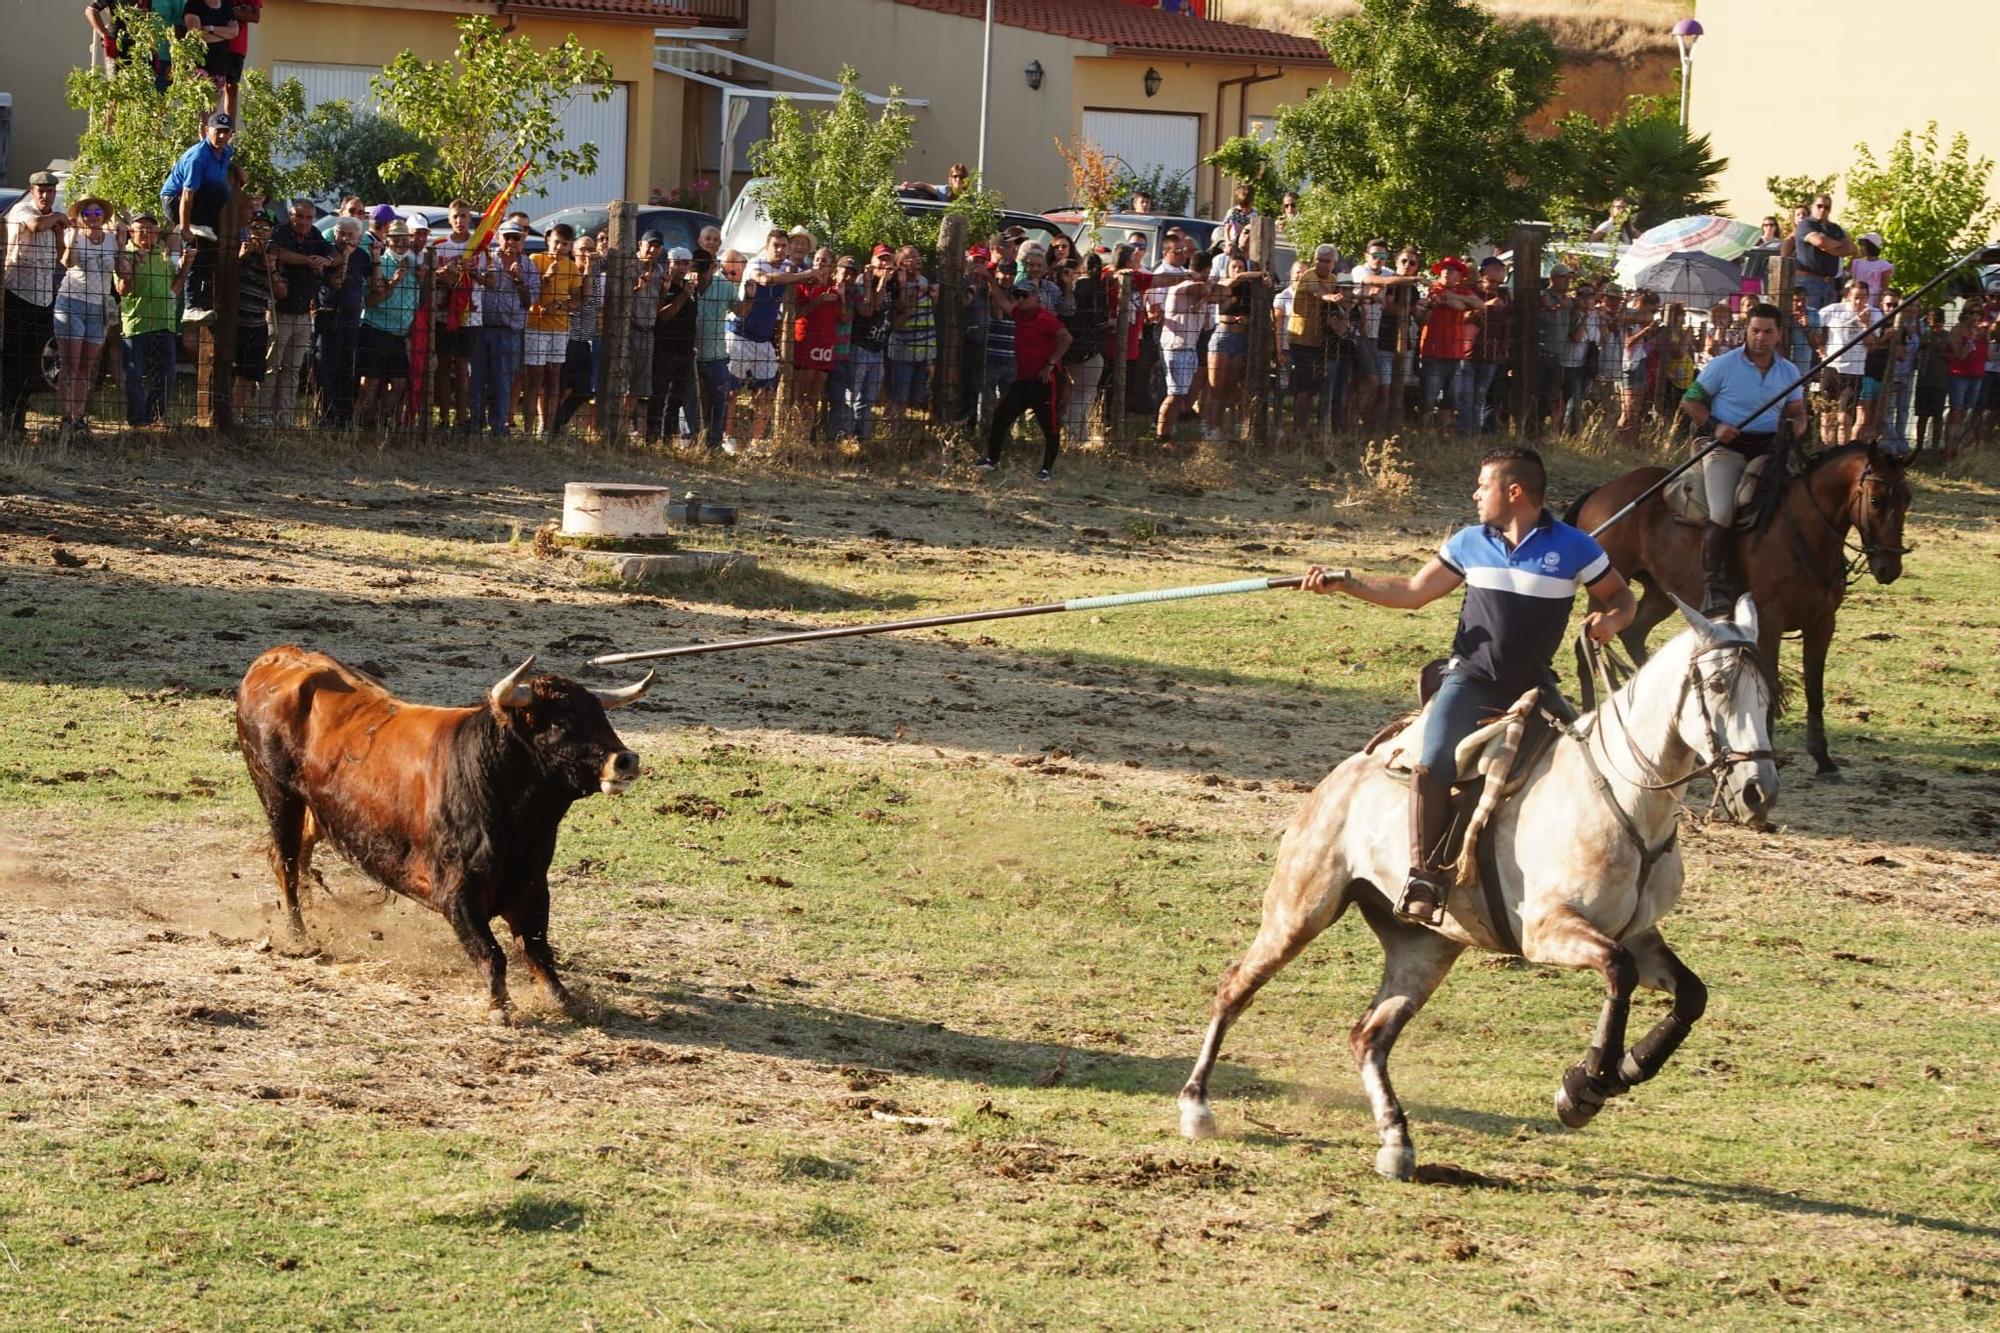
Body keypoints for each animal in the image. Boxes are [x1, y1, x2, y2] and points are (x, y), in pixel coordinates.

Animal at [238, 644, 652, 1016]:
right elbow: (491, 952)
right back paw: (299, 936)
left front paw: (562, 998)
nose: (625, 760)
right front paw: (500, 1005)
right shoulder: (457, 892)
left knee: (298, 856)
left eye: (600, 716)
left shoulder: (532, 886)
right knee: (286, 862)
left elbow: (537, 948)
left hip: (314, 809)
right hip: (278, 795)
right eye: (559, 723)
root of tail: (278, 657)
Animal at [1176, 592, 1776, 1176]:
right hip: (1300, 911)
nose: (1758, 791)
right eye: (1717, 686)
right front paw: (1584, 1085)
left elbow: (1691, 995)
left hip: (1425, 947)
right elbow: (1618, 973)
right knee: (1235, 987)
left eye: (1768, 695)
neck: (1624, 800)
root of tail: (1342, 775)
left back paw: (1397, 1141)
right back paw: (1197, 1106)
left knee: (1368, 1036)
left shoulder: (1639, 934)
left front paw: (1624, 1069)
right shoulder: (1548, 931)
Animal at [1568, 440, 1912, 772]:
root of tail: (1601, 491)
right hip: (1608, 586)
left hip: (1660, 593)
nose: (1889, 568)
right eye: (1875, 501)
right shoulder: (1770, 621)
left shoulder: (1823, 623)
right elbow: (1768, 680)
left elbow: (1815, 689)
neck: (1802, 534)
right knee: (1586, 644)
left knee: (1634, 633)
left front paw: (1822, 758)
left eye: (1907, 500)